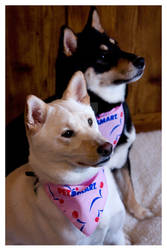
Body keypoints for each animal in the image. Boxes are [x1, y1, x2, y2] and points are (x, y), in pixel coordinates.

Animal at [55, 6, 153, 220]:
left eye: (117, 45)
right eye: (102, 57)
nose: (141, 60)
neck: (107, 107)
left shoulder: (123, 159)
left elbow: (129, 190)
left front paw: (139, 212)